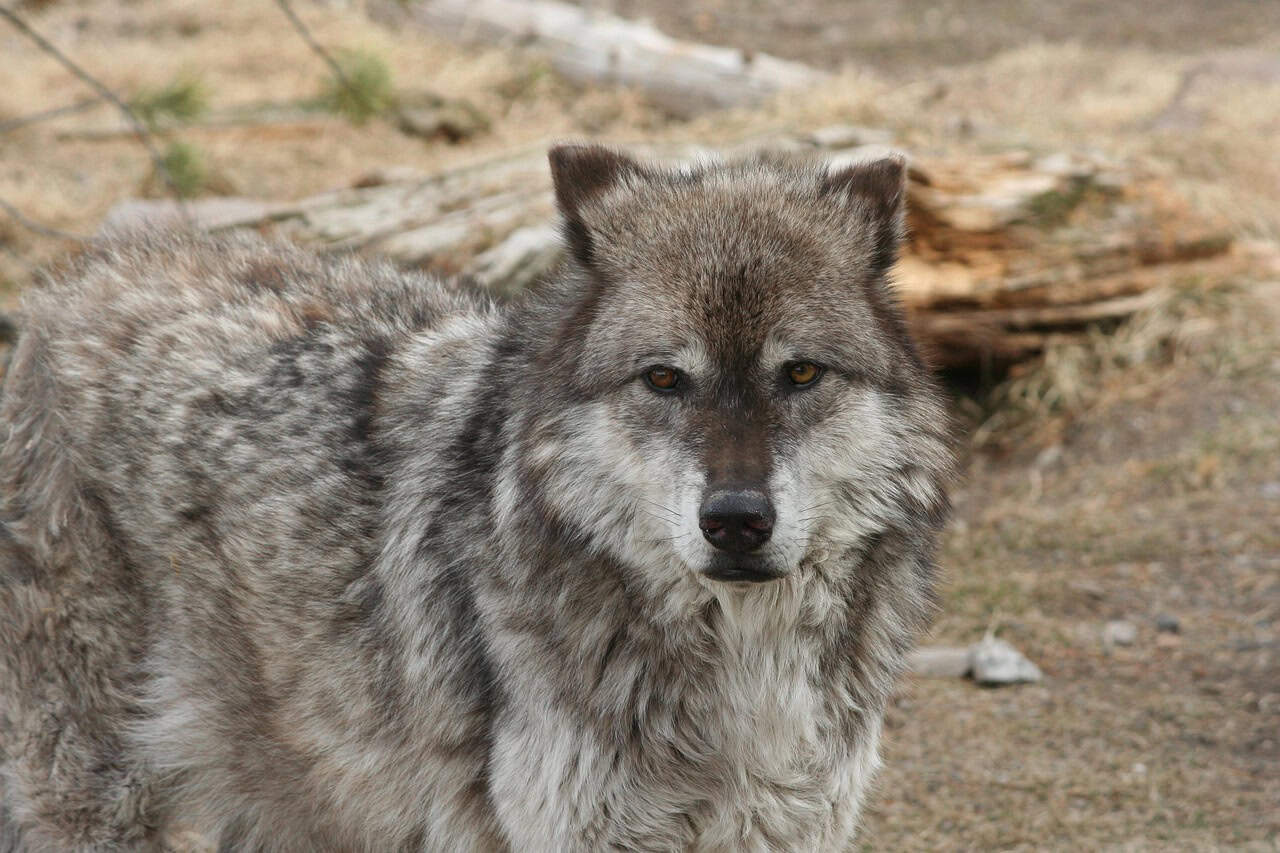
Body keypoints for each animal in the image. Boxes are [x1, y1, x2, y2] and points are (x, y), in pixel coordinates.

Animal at [0, 144, 952, 851]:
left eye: (801, 373)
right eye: (663, 378)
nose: (736, 521)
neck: (744, 672)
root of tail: (66, 284)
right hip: (102, 789)